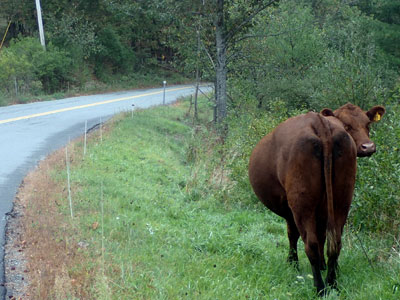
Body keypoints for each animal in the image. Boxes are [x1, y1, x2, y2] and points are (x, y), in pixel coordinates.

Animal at [250, 103, 384, 296]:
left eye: (368, 124)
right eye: (347, 125)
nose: (369, 147)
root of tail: (320, 123)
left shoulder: (292, 210)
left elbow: (293, 234)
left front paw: (293, 264)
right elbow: (322, 237)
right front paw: (323, 266)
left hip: (302, 203)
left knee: (310, 243)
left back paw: (320, 287)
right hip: (342, 199)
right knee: (335, 242)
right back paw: (332, 283)